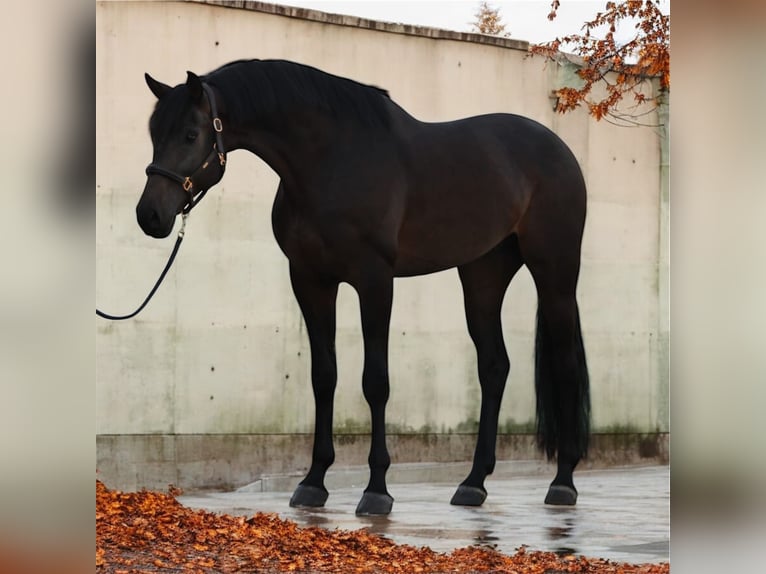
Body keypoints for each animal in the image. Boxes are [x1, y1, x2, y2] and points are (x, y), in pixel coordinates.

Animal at [136, 59, 590, 516]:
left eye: (191, 134)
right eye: (154, 134)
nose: (149, 216)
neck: (332, 161)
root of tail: (560, 150)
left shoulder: (374, 281)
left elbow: (375, 382)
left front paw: (376, 490)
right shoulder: (311, 280)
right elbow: (324, 376)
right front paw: (313, 482)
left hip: (555, 271)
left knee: (565, 364)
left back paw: (563, 482)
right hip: (483, 274)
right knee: (494, 366)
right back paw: (473, 484)